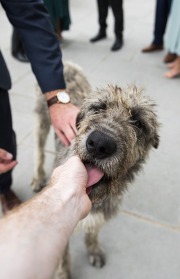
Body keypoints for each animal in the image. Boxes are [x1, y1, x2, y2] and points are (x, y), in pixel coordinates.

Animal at [31, 62, 160, 278]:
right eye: (98, 107)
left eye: (139, 122)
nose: (100, 144)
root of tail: (68, 64)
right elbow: (62, 258)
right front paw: (64, 274)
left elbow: (94, 230)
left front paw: (93, 249)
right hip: (42, 120)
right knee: (39, 151)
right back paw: (37, 177)